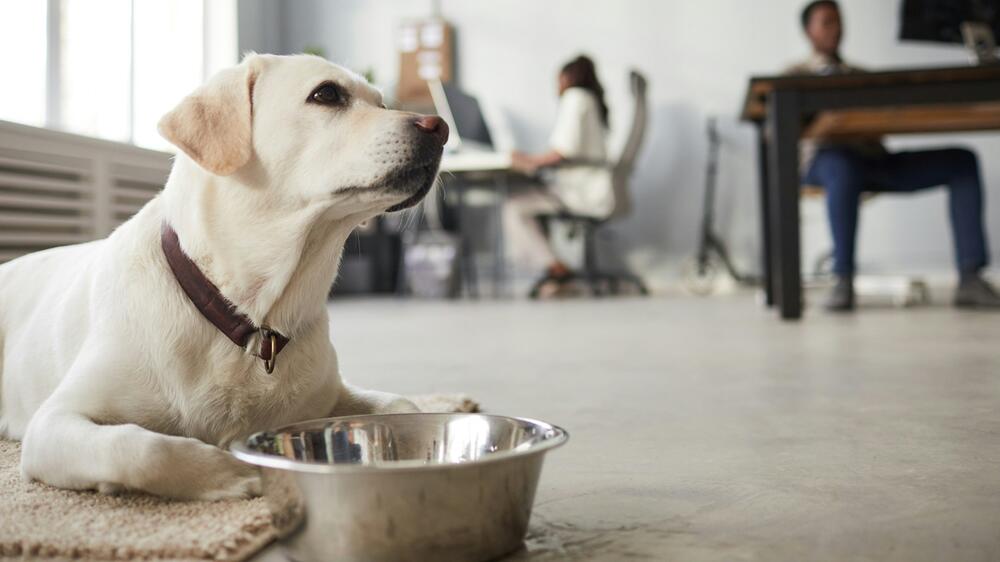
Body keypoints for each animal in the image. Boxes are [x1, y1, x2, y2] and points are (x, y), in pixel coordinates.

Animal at [0, 53, 450, 498]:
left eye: (382, 103)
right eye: (327, 94)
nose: (440, 128)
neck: (249, 319)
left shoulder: (331, 392)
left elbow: (404, 407)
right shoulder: (54, 422)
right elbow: (140, 448)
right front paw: (232, 472)